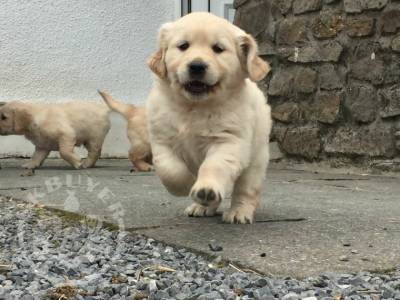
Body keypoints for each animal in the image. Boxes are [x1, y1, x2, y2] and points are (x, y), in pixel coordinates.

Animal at [145, 12, 274, 224]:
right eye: (183, 46)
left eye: (218, 49)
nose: (197, 66)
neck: (194, 107)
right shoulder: (162, 140)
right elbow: (170, 170)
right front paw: (188, 184)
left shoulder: (229, 141)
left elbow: (214, 166)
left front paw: (206, 188)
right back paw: (201, 206)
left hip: (256, 161)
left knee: (246, 191)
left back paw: (239, 212)